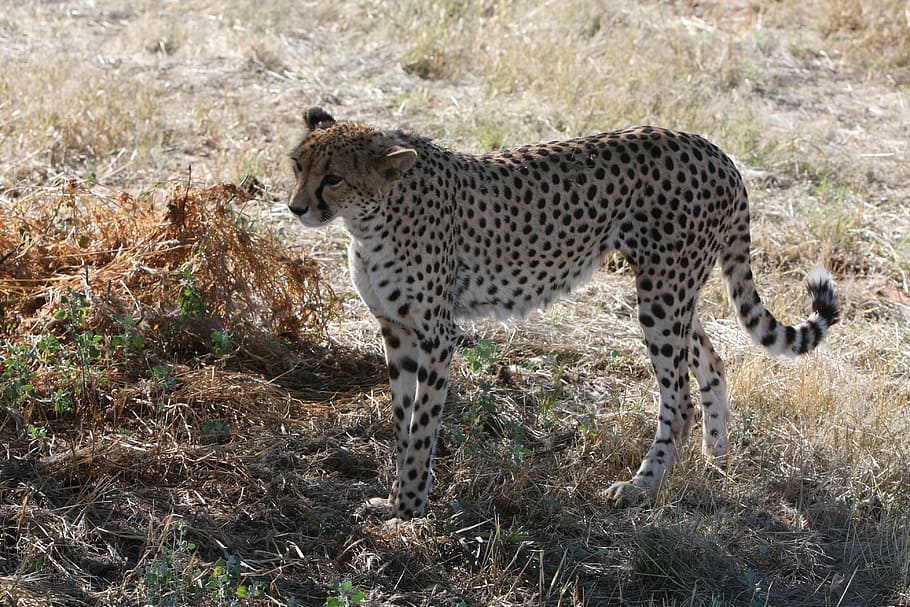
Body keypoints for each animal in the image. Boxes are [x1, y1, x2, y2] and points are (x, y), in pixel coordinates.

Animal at [288, 106, 840, 521]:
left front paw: (408, 510)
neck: (372, 216)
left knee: (679, 398)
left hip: (661, 294)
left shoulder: (436, 334)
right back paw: (716, 462)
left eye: (333, 178)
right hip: (673, 291)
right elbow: (402, 421)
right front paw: (396, 496)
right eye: (297, 165)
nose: (295, 208)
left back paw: (641, 487)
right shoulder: (396, 330)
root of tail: (714, 149)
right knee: (713, 362)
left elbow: (422, 425)